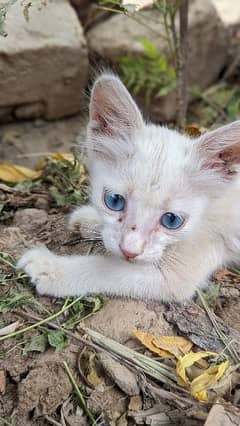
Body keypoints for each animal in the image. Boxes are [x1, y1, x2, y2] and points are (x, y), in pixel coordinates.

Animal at [17, 73, 240, 302]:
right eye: (114, 201)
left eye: (172, 220)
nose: (129, 251)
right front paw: (89, 219)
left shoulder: (178, 273)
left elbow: (110, 270)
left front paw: (52, 269)